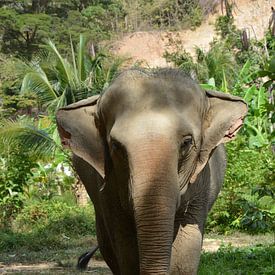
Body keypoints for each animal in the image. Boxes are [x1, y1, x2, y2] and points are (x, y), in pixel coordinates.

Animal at [56, 68, 248, 274]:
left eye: (187, 142)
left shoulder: (201, 183)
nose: (83, 259)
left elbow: (186, 250)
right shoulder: (108, 189)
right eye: (115, 146)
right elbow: (125, 247)